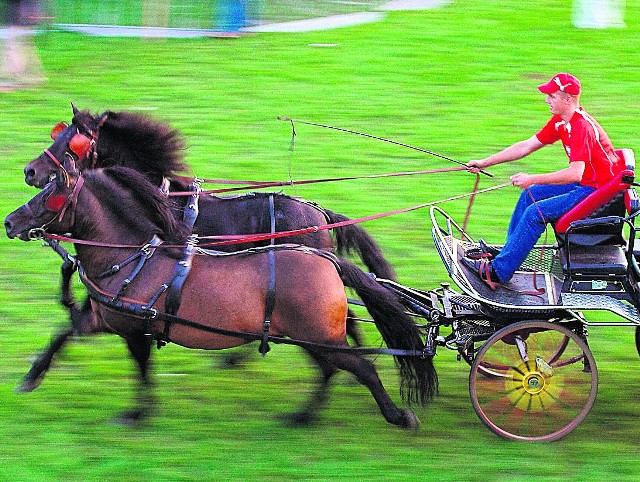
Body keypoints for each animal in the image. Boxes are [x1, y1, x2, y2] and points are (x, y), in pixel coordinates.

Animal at [18, 106, 396, 392]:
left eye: (75, 143)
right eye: (58, 135)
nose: (29, 171)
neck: (164, 198)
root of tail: (319, 214)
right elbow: (78, 314)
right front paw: (37, 368)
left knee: (338, 319)